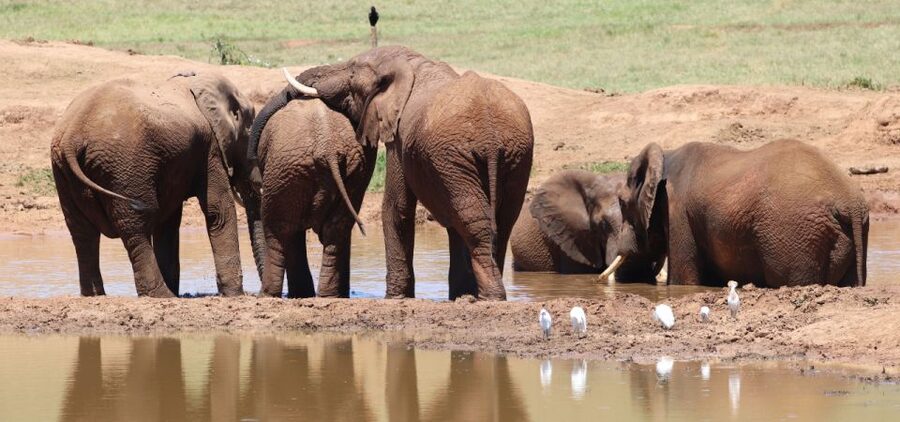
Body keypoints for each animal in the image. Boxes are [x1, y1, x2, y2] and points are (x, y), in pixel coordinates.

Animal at [51, 72, 255, 297]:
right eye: (250, 131)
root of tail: (72, 136)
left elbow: (169, 222)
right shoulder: (211, 149)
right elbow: (218, 211)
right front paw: (236, 295)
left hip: (65, 171)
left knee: (81, 231)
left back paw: (96, 295)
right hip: (125, 166)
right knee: (136, 227)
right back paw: (162, 295)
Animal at [242, 98, 376, 298]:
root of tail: (328, 148)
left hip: (286, 169)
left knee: (278, 231)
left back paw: (267, 295)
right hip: (354, 172)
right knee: (336, 229)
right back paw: (327, 295)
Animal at [601, 139, 868, 288]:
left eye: (622, 202)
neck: (667, 154)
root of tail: (849, 203)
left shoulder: (677, 212)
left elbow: (683, 280)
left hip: (796, 232)